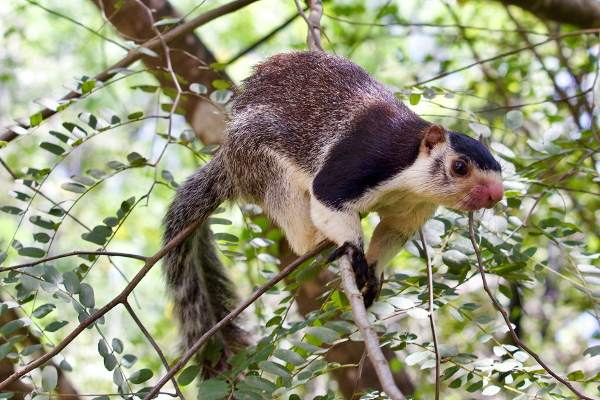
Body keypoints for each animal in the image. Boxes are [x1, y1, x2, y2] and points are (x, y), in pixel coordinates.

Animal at [162, 50, 504, 378]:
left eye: (500, 168)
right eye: (459, 167)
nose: (496, 195)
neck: (409, 175)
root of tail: (229, 163)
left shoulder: (413, 210)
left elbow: (392, 231)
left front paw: (373, 272)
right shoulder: (365, 161)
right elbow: (327, 195)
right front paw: (353, 249)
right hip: (260, 161)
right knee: (296, 223)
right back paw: (316, 239)